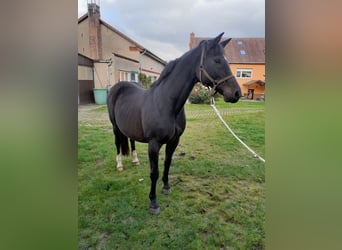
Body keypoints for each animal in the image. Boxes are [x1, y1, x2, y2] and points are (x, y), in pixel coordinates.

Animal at [107, 32, 240, 214]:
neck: (166, 103)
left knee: (131, 141)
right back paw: (119, 164)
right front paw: (153, 202)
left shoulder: (174, 140)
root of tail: (117, 86)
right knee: (117, 144)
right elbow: (154, 172)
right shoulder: (154, 144)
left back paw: (135, 160)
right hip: (115, 127)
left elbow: (168, 163)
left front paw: (166, 187)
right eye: (217, 60)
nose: (237, 93)